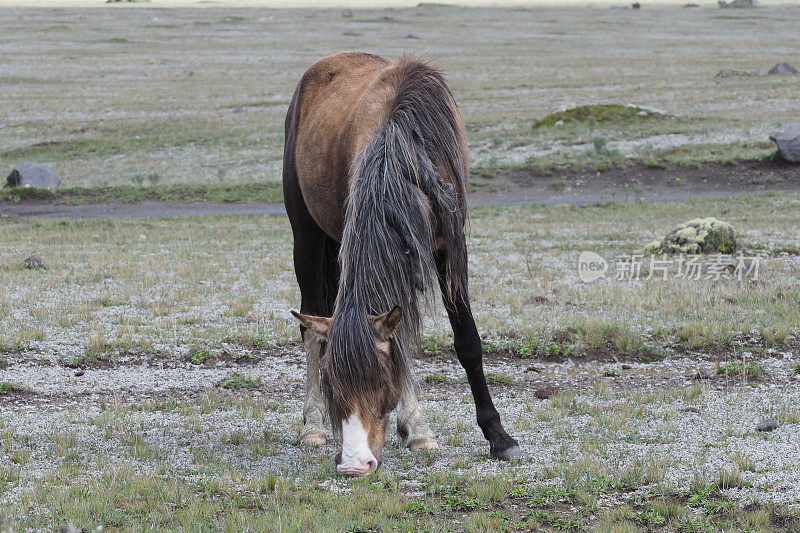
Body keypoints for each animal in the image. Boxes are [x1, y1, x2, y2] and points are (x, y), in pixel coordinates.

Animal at [284, 51, 520, 474]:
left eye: (382, 383)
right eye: (333, 386)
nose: (354, 464)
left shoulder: (448, 251)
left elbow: (466, 342)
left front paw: (498, 437)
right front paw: (418, 427)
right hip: (306, 238)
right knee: (310, 324)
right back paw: (312, 427)